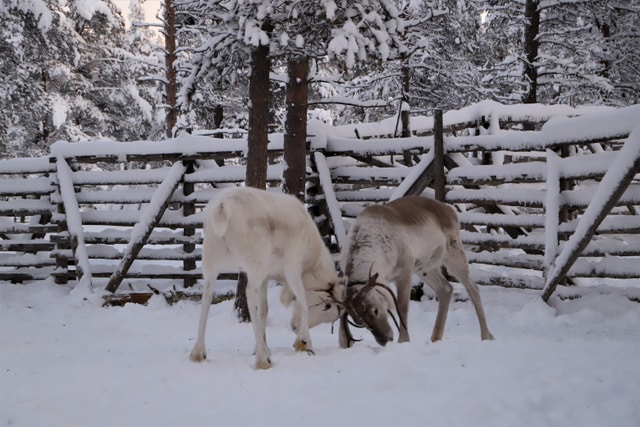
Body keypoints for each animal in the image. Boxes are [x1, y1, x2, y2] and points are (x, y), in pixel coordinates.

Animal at [189, 187, 342, 369]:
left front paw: (261, 347)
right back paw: (263, 360)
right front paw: (304, 343)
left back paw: (198, 353)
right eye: (327, 305)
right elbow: (303, 299)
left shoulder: (266, 278)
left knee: (206, 298)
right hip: (255, 264)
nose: (294, 327)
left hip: (211, 262)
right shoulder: (292, 267)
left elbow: (264, 309)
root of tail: (223, 206)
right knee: (248, 295)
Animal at [338, 196, 494, 348]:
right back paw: (435, 338)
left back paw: (486, 335)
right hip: (425, 267)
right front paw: (344, 342)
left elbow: (402, 306)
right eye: (359, 322)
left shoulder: (405, 269)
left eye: (375, 310)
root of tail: (449, 209)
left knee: (472, 288)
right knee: (445, 289)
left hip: (453, 251)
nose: (385, 339)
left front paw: (403, 340)